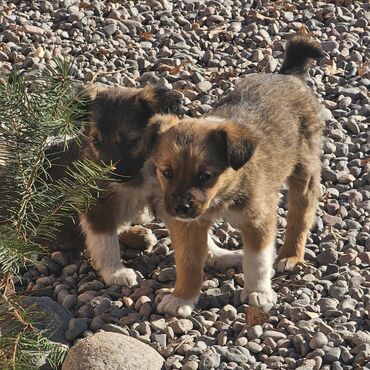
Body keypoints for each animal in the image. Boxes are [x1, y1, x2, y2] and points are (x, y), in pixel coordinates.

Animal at [150, 36, 324, 316]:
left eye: (204, 176)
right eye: (167, 173)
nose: (180, 208)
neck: (223, 195)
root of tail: (289, 74)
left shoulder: (259, 219)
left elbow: (257, 261)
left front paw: (258, 292)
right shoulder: (188, 226)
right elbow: (188, 263)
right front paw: (182, 298)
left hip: (304, 170)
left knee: (301, 213)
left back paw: (291, 255)